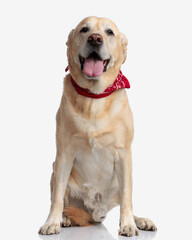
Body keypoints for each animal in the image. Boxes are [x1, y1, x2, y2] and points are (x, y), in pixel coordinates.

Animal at [38, 16, 157, 236]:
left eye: (109, 32)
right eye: (84, 30)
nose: (95, 39)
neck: (94, 97)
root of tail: (95, 212)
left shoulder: (124, 154)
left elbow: (127, 198)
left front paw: (128, 224)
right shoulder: (64, 154)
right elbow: (57, 197)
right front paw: (52, 222)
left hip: (121, 178)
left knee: (126, 198)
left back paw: (140, 220)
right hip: (55, 170)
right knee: (64, 200)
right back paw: (65, 218)